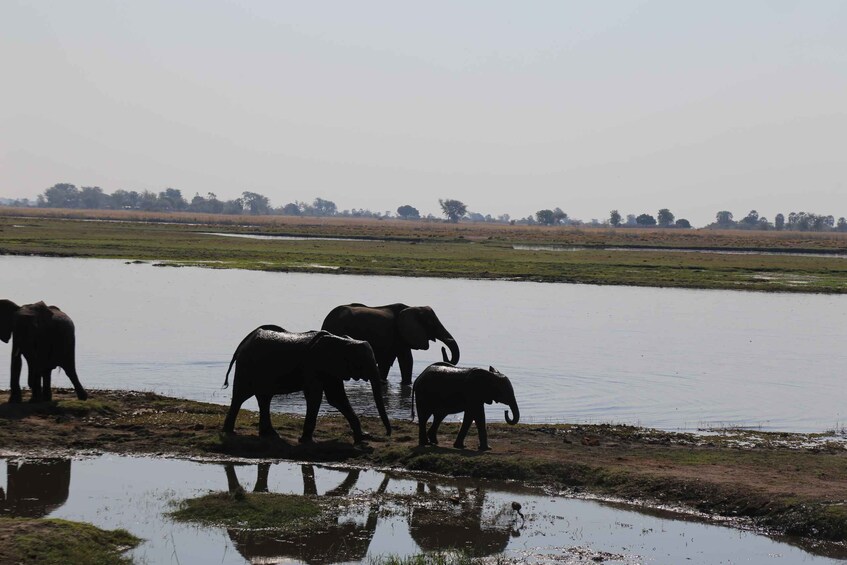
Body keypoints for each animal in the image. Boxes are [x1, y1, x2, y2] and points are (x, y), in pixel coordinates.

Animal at [219, 324, 390, 442]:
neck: (341, 341)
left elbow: (337, 398)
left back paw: (270, 435)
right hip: (246, 367)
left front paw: (361, 438)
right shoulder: (312, 365)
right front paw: (306, 441)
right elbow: (315, 396)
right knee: (241, 396)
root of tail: (243, 343)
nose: (386, 434)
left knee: (264, 398)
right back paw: (230, 432)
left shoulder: (331, 371)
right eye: (363, 364)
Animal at [322, 302, 460, 386]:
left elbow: (393, 362)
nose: (443, 348)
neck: (413, 307)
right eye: (432, 324)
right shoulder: (399, 335)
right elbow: (405, 361)